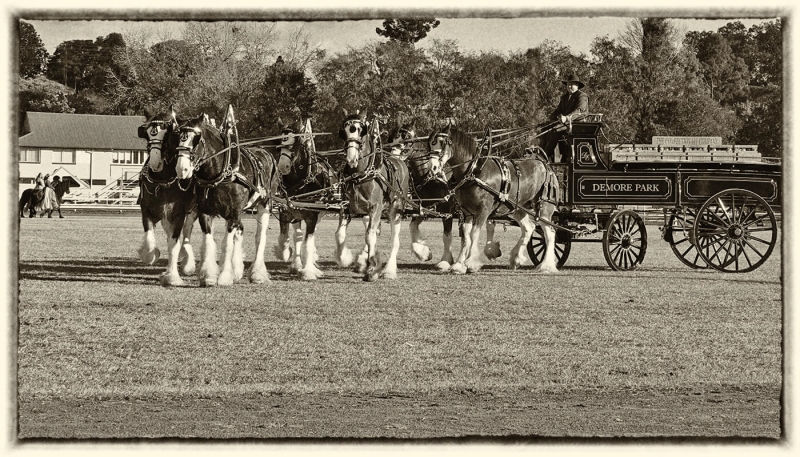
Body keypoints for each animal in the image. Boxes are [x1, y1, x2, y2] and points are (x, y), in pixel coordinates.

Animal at [134, 108, 197, 284]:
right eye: (147, 133)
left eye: (168, 133)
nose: (155, 163)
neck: (162, 181)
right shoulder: (147, 211)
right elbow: (150, 241)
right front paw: (150, 255)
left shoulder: (179, 213)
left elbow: (174, 244)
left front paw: (172, 276)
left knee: (187, 232)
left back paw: (187, 261)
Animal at [173, 109, 280, 286]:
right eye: (178, 135)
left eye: (197, 138)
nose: (182, 169)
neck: (220, 173)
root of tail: (265, 152)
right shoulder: (205, 212)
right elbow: (209, 241)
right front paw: (209, 275)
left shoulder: (233, 212)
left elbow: (226, 244)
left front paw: (224, 276)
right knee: (239, 230)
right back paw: (237, 269)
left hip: (265, 203)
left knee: (260, 236)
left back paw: (257, 273)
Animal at [274, 116, 340, 282]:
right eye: (278, 146)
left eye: (293, 146)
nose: (282, 167)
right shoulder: (286, 212)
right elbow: (284, 238)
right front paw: (285, 253)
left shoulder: (312, 216)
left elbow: (308, 242)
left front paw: (309, 270)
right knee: (297, 236)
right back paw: (297, 263)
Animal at [332, 111, 410, 282]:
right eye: (343, 131)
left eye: (362, 130)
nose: (351, 158)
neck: (360, 174)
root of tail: (398, 160)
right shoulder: (346, 206)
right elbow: (340, 234)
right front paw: (345, 258)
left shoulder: (376, 207)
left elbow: (369, 236)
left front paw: (373, 270)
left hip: (395, 209)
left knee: (394, 239)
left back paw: (389, 270)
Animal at [428, 122, 560, 274]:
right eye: (430, 145)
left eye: (443, 143)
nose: (433, 167)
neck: (475, 171)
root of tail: (544, 164)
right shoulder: (466, 212)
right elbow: (466, 237)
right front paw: (459, 264)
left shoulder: (483, 210)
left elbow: (474, 234)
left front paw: (471, 263)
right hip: (517, 208)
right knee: (529, 228)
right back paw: (516, 258)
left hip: (544, 208)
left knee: (550, 234)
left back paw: (546, 266)